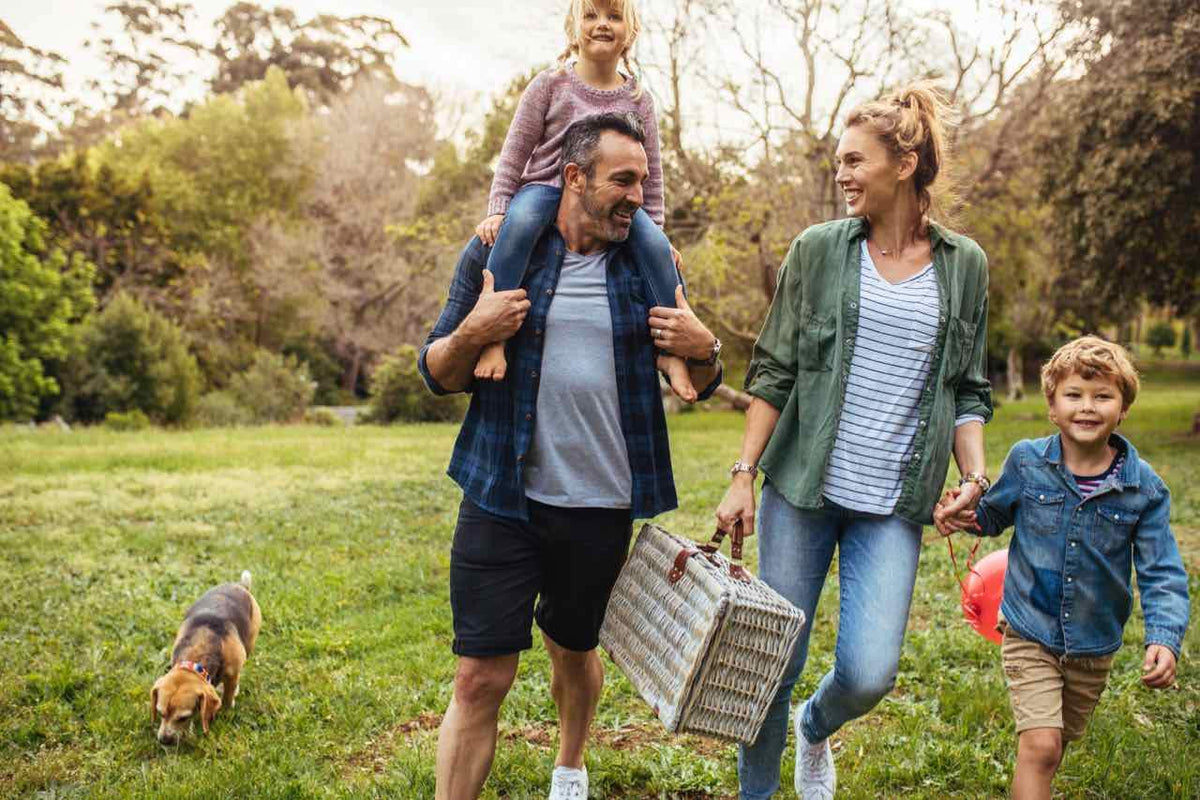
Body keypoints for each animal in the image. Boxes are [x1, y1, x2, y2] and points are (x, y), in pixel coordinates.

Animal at [151, 568, 261, 743]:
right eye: (160, 712)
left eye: (183, 717)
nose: (164, 741)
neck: (196, 656)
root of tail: (240, 586)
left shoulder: (232, 676)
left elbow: (227, 698)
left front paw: (225, 713)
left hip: (249, 643)